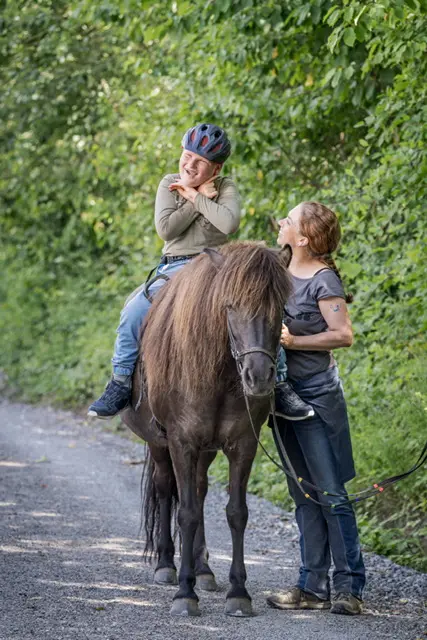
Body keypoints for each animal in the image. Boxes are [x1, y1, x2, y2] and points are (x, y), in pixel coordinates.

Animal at [122, 241, 292, 617]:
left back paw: (202, 570)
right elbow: (184, 514)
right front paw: (185, 595)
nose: (258, 377)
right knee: (165, 489)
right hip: (159, 445)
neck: (219, 376)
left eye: (280, 307)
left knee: (198, 493)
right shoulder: (181, 442)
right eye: (231, 305)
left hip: (206, 450)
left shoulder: (243, 445)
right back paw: (167, 565)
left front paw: (238, 593)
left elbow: (235, 513)